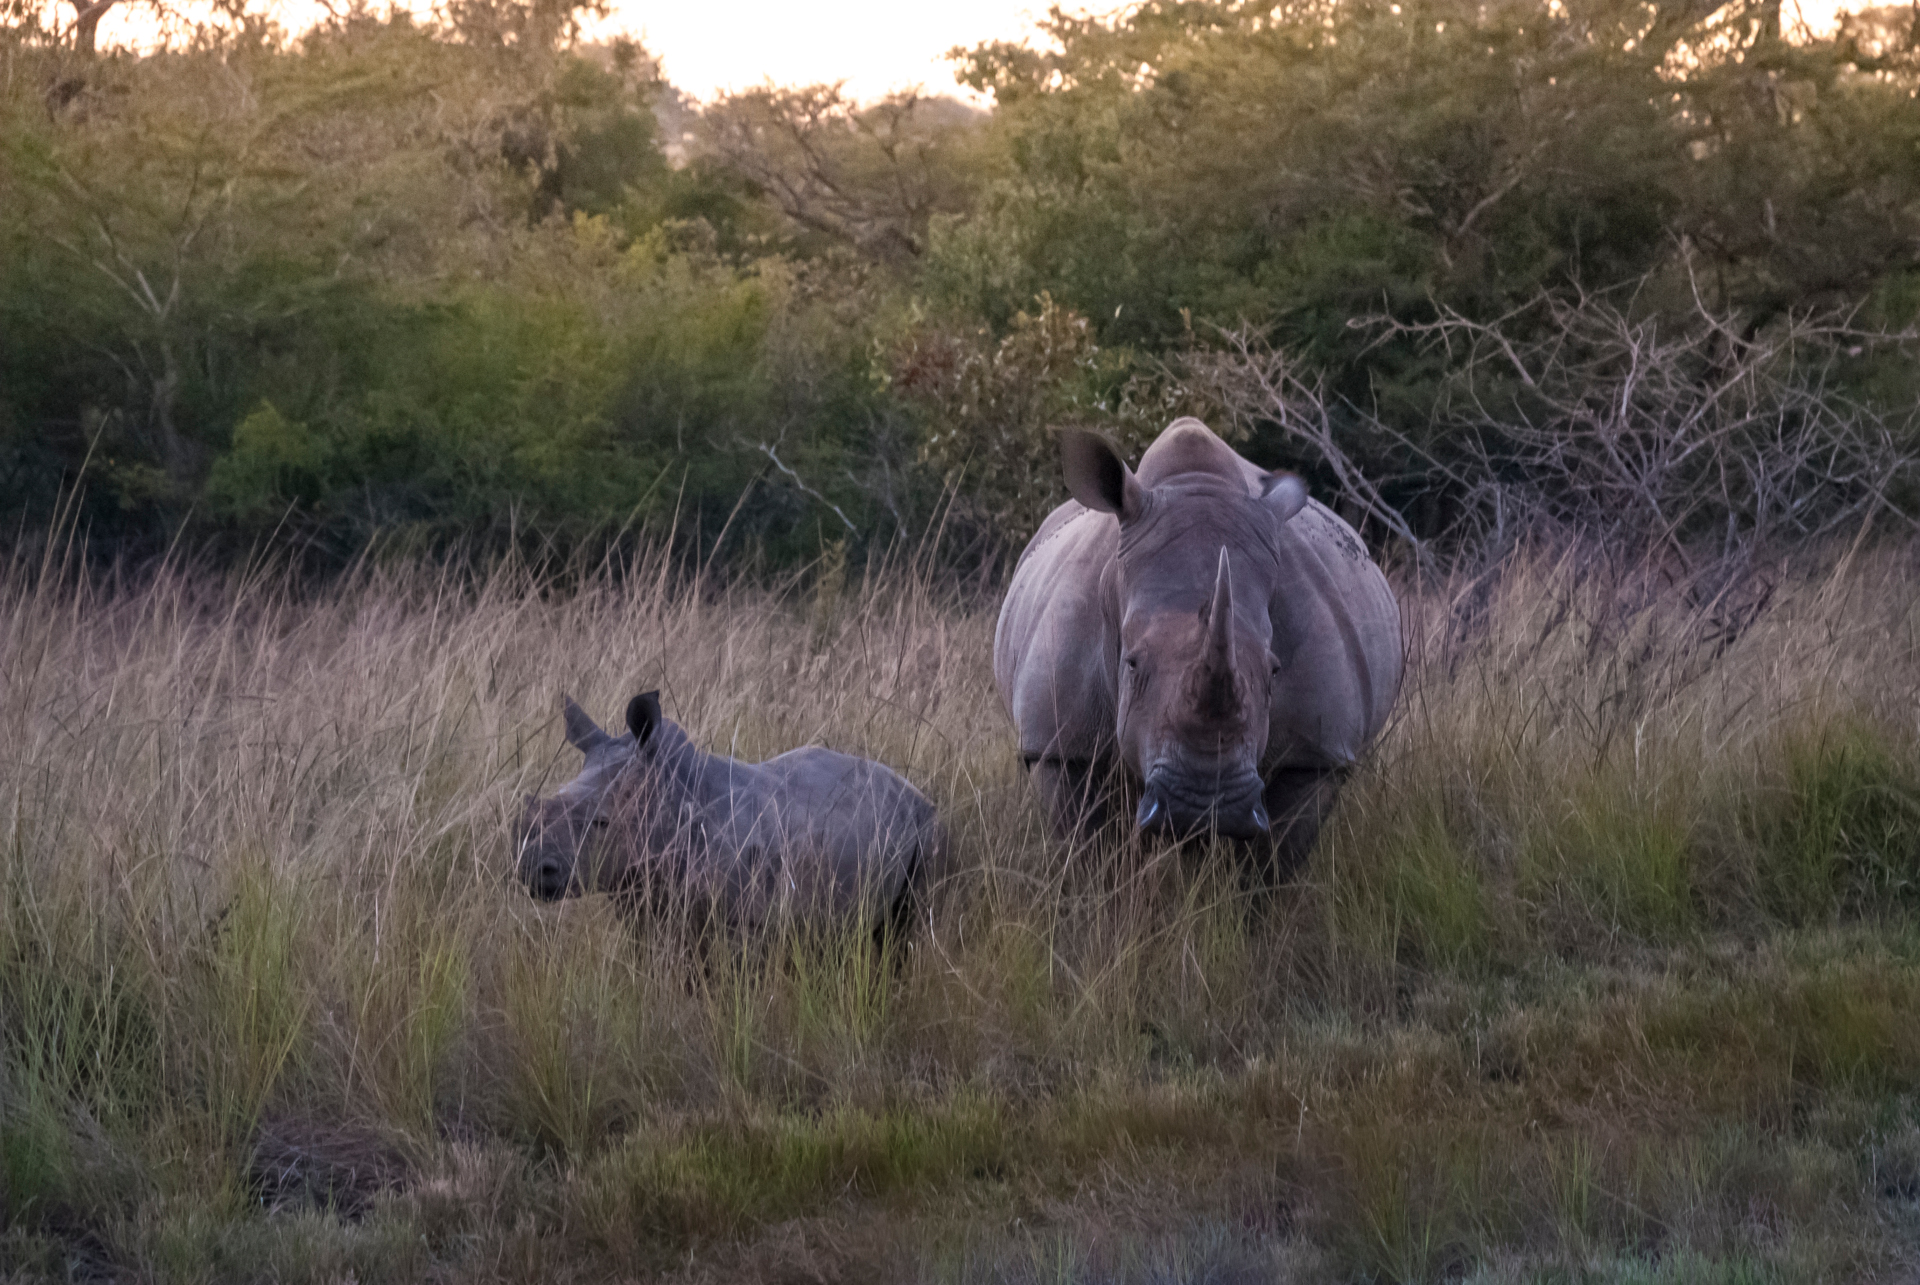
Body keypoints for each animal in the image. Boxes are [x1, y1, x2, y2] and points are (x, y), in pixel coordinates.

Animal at [515, 693, 946, 942]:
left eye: (601, 823)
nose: (531, 869)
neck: (671, 800)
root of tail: (910, 788)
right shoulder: (643, 902)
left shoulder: (746, 926)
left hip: (925, 827)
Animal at [993, 418, 1402, 873]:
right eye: (1131, 663)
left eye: (1274, 671)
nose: (1205, 806)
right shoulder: (1059, 745)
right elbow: (1087, 854)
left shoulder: (1315, 754)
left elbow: (1274, 864)